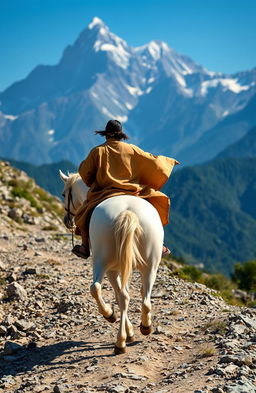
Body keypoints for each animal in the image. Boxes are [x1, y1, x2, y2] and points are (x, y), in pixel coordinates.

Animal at [59, 170, 164, 354]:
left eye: (64, 194)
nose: (66, 220)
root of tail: (127, 213)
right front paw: (130, 331)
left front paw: (124, 328)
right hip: (149, 265)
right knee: (141, 298)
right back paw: (141, 328)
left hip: (108, 265)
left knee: (108, 292)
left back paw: (114, 324)